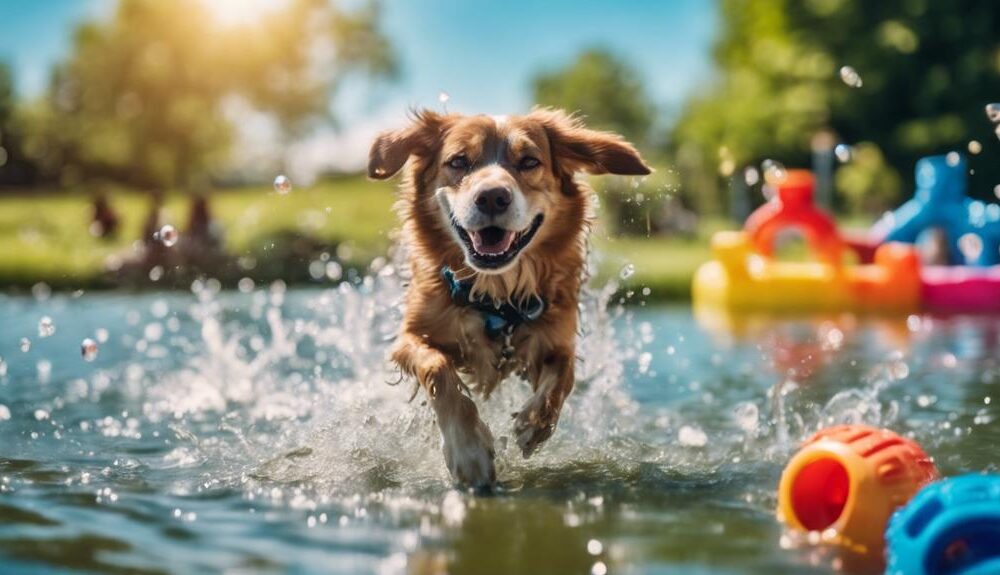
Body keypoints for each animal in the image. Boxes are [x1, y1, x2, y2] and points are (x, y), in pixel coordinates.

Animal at [368, 108, 648, 486]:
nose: (492, 197)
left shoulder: (556, 337)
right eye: (458, 161)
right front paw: (468, 451)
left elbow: (565, 376)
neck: (495, 294)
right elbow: (438, 369)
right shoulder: (410, 337)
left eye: (529, 161)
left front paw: (534, 424)